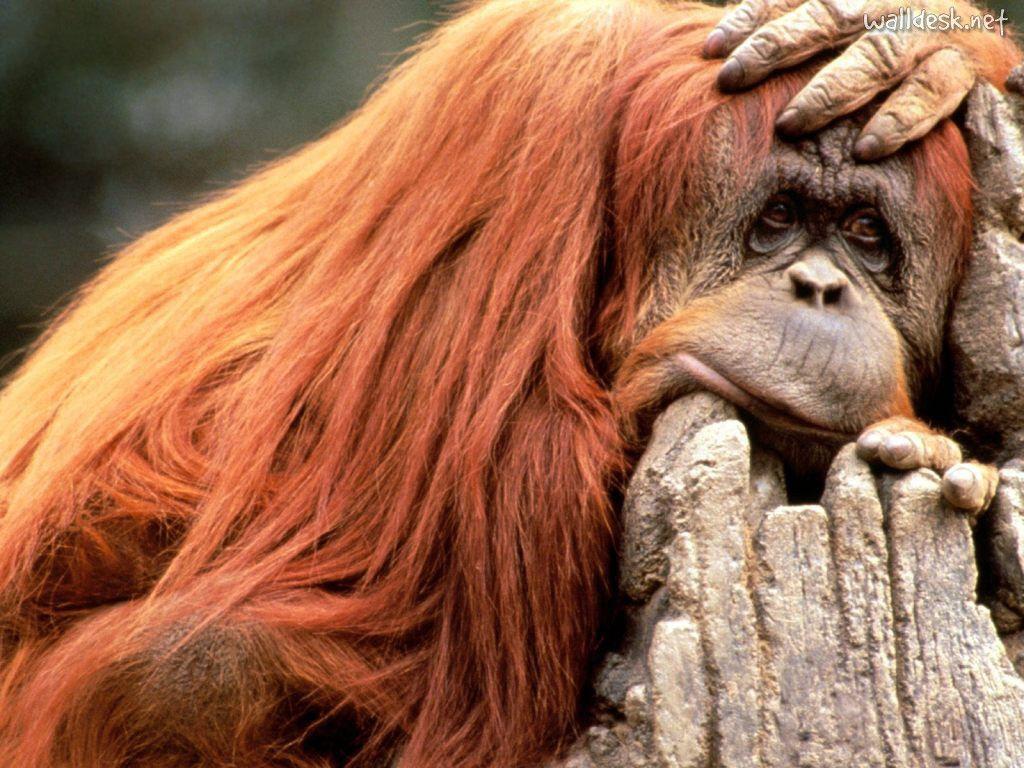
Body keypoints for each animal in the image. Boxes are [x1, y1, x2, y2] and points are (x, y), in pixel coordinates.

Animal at [0, 1, 1017, 766]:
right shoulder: (533, 130)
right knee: (201, 667)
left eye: (866, 236)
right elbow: (503, 503)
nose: (819, 287)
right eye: (777, 219)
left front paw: (924, 48)